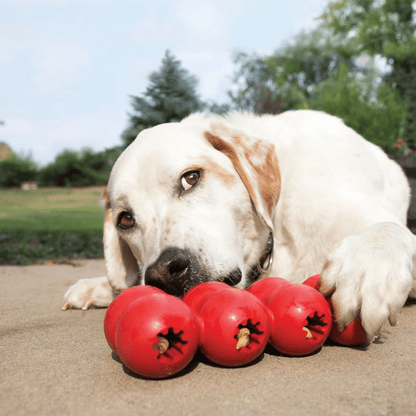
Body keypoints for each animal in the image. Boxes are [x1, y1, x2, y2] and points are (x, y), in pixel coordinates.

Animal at [61, 110, 416, 342]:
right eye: (126, 219)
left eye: (191, 178)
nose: (163, 272)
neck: (277, 234)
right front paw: (102, 286)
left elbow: (388, 231)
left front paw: (368, 268)